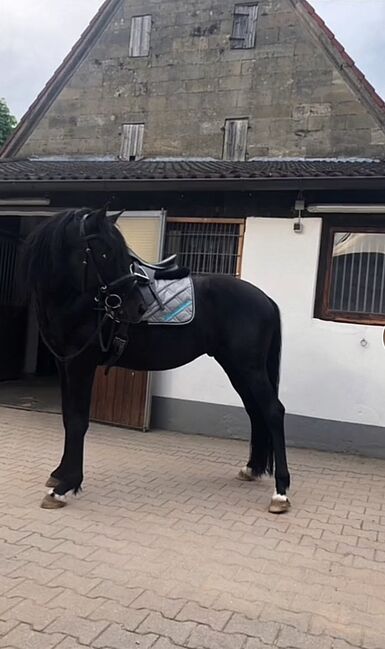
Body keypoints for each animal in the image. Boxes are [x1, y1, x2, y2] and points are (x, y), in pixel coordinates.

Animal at [23, 206, 288, 512]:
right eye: (105, 252)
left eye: (117, 252)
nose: (136, 307)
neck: (77, 303)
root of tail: (265, 299)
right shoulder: (65, 363)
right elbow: (68, 417)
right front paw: (59, 475)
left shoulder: (81, 365)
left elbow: (78, 421)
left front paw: (65, 487)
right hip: (237, 368)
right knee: (255, 411)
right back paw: (252, 469)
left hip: (249, 368)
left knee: (273, 411)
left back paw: (281, 493)